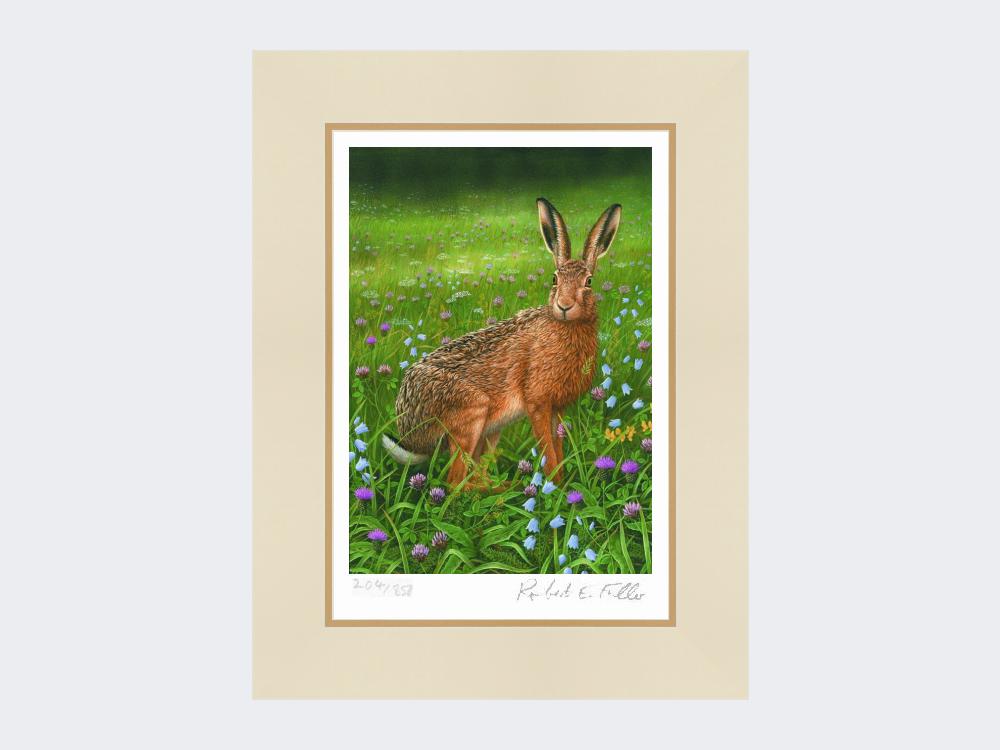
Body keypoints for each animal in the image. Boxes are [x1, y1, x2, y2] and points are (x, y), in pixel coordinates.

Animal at [381, 198, 622, 488]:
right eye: (555, 279)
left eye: (589, 282)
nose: (564, 306)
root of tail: (408, 429)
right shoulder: (537, 403)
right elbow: (548, 450)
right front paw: (555, 486)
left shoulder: (557, 408)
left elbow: (558, 446)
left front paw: (562, 484)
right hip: (470, 415)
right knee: (455, 484)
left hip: (490, 431)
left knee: (474, 475)